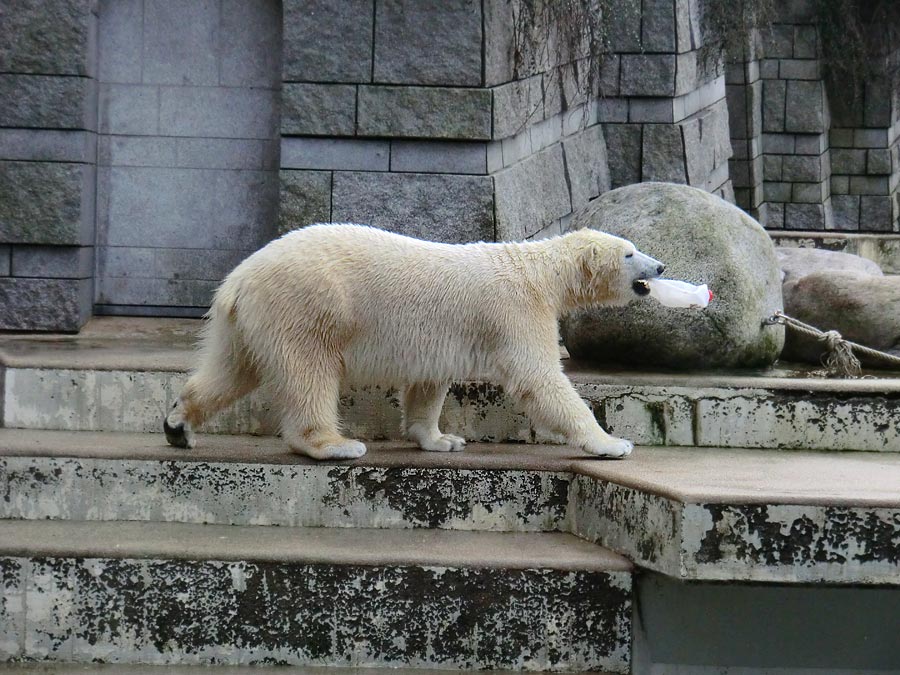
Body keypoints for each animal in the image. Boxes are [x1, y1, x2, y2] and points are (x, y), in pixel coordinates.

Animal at [165, 224, 664, 462]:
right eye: (629, 252)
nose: (660, 266)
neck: (538, 272)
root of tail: (238, 280)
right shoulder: (517, 311)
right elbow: (538, 378)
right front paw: (611, 443)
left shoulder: (443, 336)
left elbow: (428, 384)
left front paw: (443, 439)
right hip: (306, 306)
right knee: (309, 373)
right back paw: (334, 444)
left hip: (248, 321)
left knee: (232, 369)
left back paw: (178, 423)